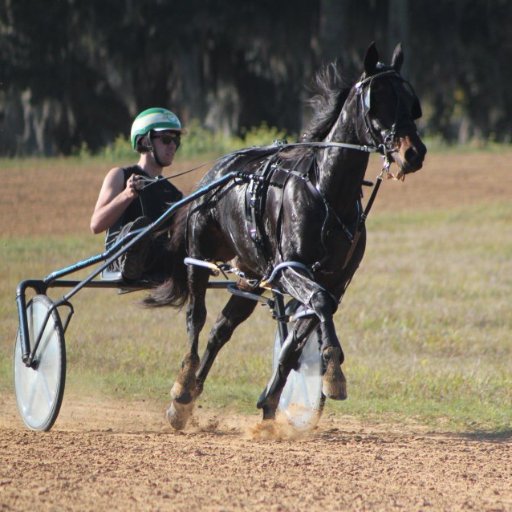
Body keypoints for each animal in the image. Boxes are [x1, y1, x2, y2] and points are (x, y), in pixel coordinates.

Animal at [147, 43, 424, 428]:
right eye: (378, 99)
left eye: (411, 100)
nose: (414, 152)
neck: (326, 191)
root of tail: (215, 172)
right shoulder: (290, 269)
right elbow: (318, 305)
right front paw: (333, 373)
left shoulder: (334, 279)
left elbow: (304, 328)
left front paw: (272, 401)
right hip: (199, 255)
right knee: (196, 317)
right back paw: (183, 389)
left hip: (249, 272)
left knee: (221, 328)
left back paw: (189, 399)